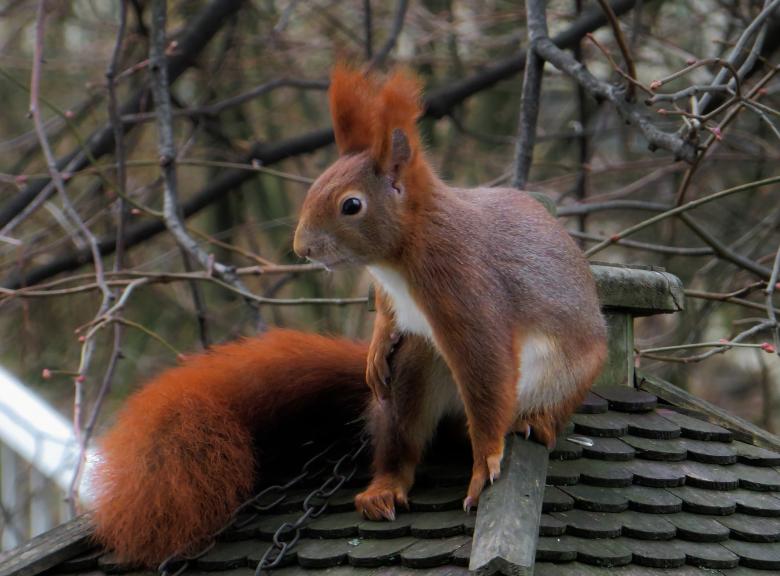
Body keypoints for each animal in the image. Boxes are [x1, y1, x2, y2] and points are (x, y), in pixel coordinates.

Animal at [293, 64, 607, 517]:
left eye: (351, 205)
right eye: (314, 187)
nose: (301, 248)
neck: (399, 258)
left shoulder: (464, 286)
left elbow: (488, 370)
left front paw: (484, 466)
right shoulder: (390, 293)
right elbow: (387, 314)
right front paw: (375, 347)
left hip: (565, 377)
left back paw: (537, 421)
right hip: (415, 366)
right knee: (403, 431)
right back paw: (384, 487)